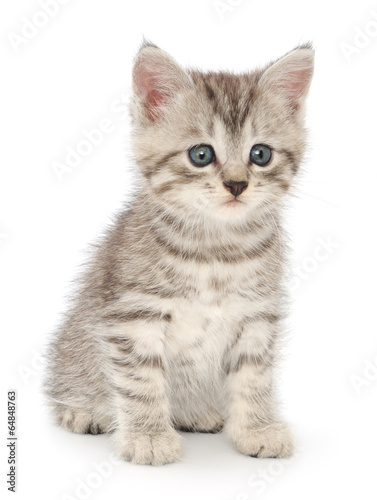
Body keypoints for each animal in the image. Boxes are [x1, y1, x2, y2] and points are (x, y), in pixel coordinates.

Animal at [44, 42, 314, 464]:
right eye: (201, 155)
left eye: (261, 154)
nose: (236, 184)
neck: (216, 250)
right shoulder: (133, 315)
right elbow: (141, 379)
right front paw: (149, 436)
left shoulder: (256, 316)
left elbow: (254, 377)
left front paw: (257, 428)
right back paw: (82, 411)